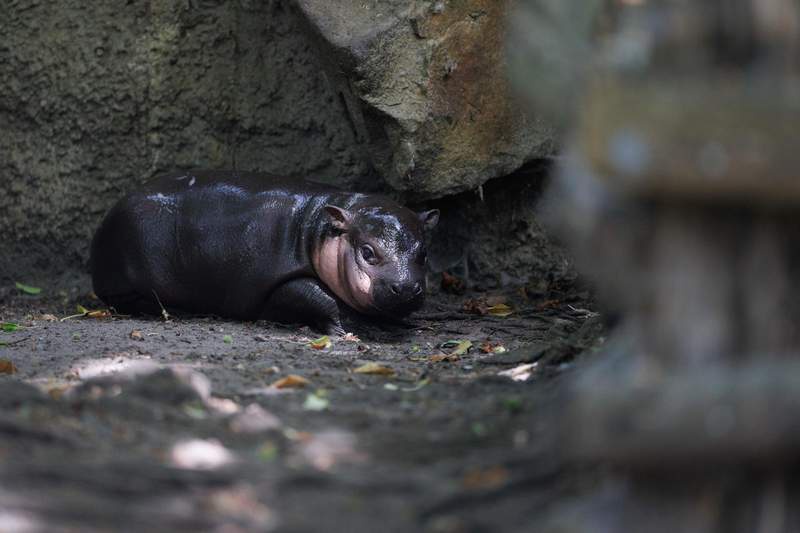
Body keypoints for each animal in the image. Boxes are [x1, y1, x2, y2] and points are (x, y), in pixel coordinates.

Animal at [90, 170, 439, 334]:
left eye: (424, 253)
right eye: (367, 251)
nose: (406, 287)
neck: (319, 229)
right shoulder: (278, 278)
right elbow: (317, 296)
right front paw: (356, 328)